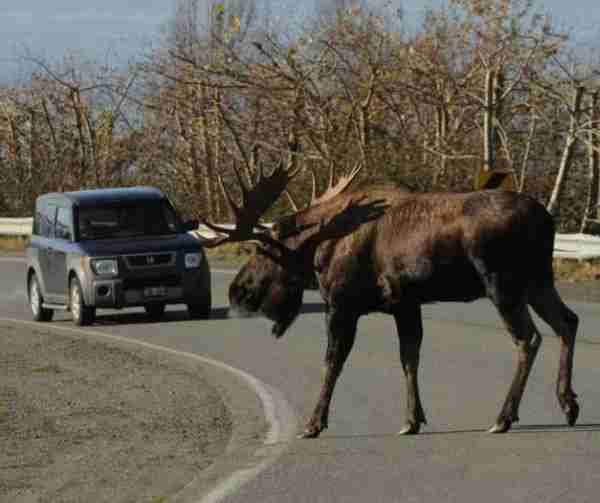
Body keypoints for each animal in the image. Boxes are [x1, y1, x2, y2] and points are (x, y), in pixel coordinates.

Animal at [200, 160, 576, 438]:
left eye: (259, 250)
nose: (237, 290)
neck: (316, 250)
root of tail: (548, 220)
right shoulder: (405, 304)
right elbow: (409, 357)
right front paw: (412, 420)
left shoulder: (341, 305)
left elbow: (332, 362)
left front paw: (314, 423)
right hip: (538, 280)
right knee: (567, 321)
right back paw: (568, 403)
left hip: (502, 284)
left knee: (529, 338)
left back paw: (504, 417)